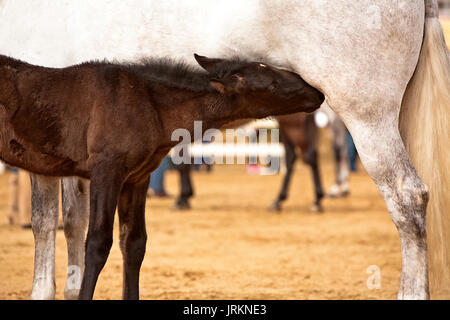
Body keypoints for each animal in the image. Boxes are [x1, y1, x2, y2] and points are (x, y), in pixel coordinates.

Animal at [0, 52, 324, 298]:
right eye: (271, 83)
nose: (317, 92)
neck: (150, 105)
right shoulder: (107, 171)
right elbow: (97, 242)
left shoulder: (137, 178)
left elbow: (134, 243)